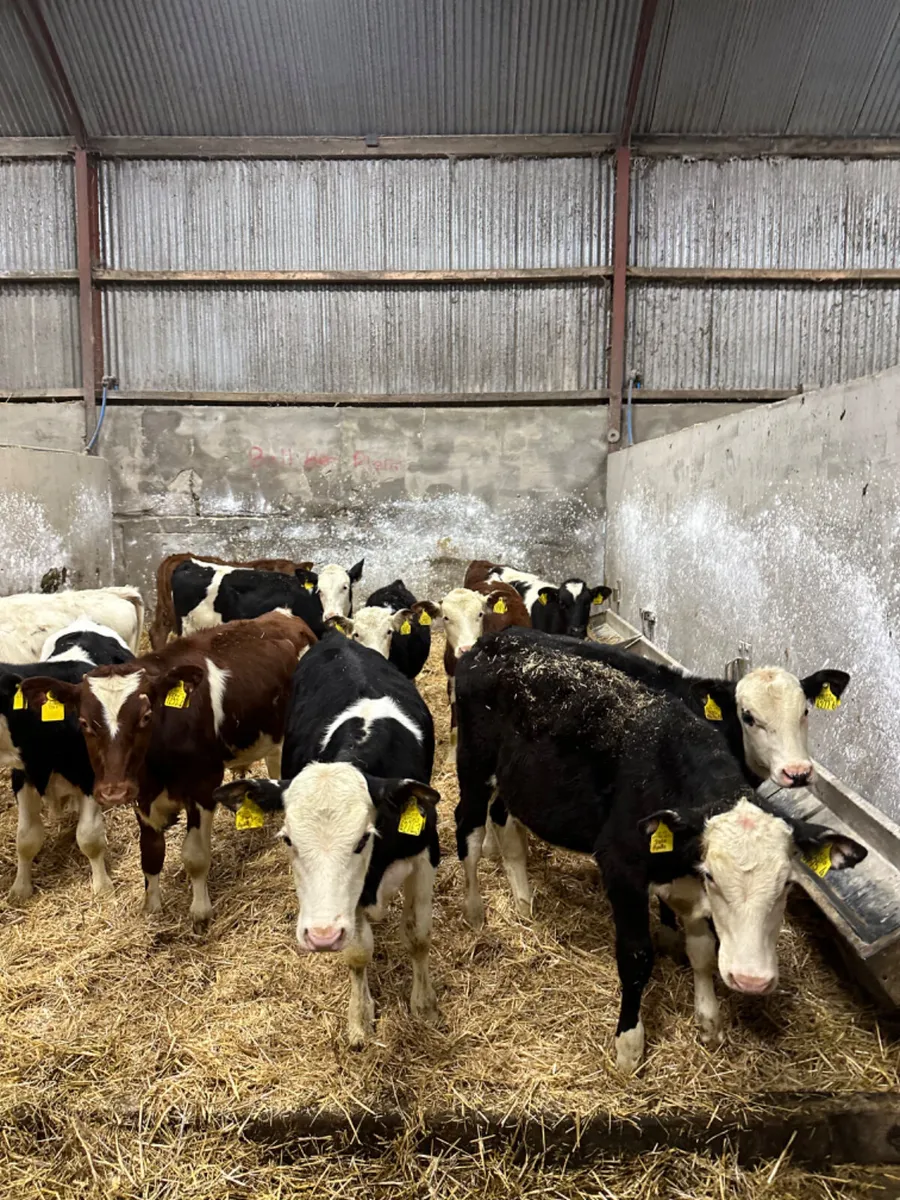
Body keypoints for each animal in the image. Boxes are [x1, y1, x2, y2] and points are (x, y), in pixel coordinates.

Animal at [0, 620, 136, 901]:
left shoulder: (90, 777)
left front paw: (102, 886)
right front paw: (20, 888)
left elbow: (89, 837)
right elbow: (26, 838)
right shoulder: (23, 776)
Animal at [18, 613, 316, 925]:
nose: (113, 792)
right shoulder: (142, 796)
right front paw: (152, 906)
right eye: (85, 722)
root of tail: (282, 616)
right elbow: (150, 854)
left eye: (145, 716)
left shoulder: (204, 786)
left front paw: (200, 911)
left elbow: (195, 856)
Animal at [214, 630, 439, 1046]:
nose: (320, 936)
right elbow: (357, 953)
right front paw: (359, 1017)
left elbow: (418, 936)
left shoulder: (424, 856)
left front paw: (425, 1005)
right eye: (288, 841)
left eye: (363, 839)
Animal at [453, 628, 866, 1072]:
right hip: (473, 764)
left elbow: (702, 951)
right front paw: (629, 1044)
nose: (798, 772)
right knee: (468, 828)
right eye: (749, 717)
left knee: (502, 820)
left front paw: (708, 1019)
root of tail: (497, 639)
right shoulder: (622, 865)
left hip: (515, 781)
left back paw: (523, 900)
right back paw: (475, 910)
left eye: (805, 712)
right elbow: (636, 957)